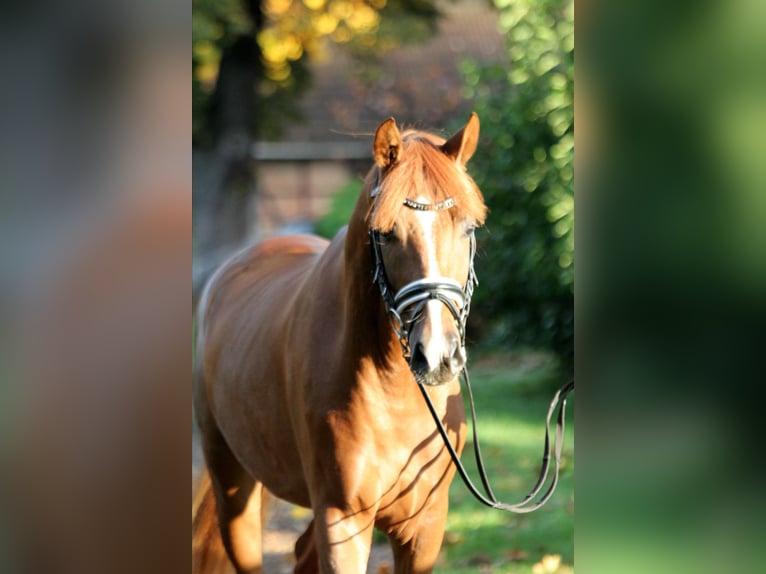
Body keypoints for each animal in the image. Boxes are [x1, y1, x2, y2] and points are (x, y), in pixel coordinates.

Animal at [195, 113, 488, 574]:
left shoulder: (425, 527)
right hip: (232, 481)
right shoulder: (342, 520)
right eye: (385, 234)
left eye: (468, 228)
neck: (394, 394)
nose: (437, 355)